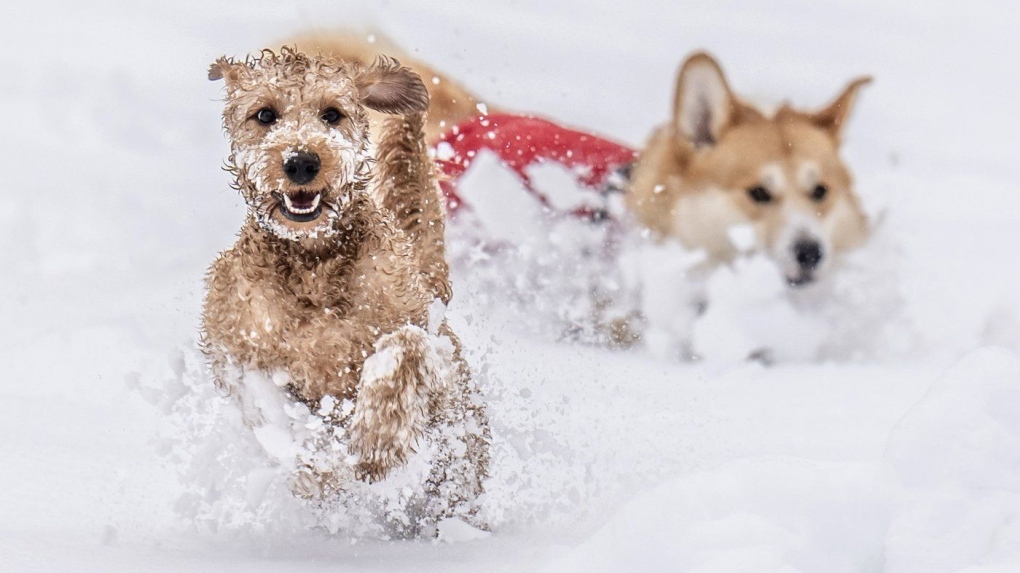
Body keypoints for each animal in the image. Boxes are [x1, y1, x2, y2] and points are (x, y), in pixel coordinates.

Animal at [199, 48, 489, 526]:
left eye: (332, 114)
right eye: (265, 114)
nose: (301, 162)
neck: (314, 265)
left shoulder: (429, 340)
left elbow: (404, 347)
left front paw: (376, 441)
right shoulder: (234, 339)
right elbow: (267, 402)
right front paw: (313, 461)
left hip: (460, 452)